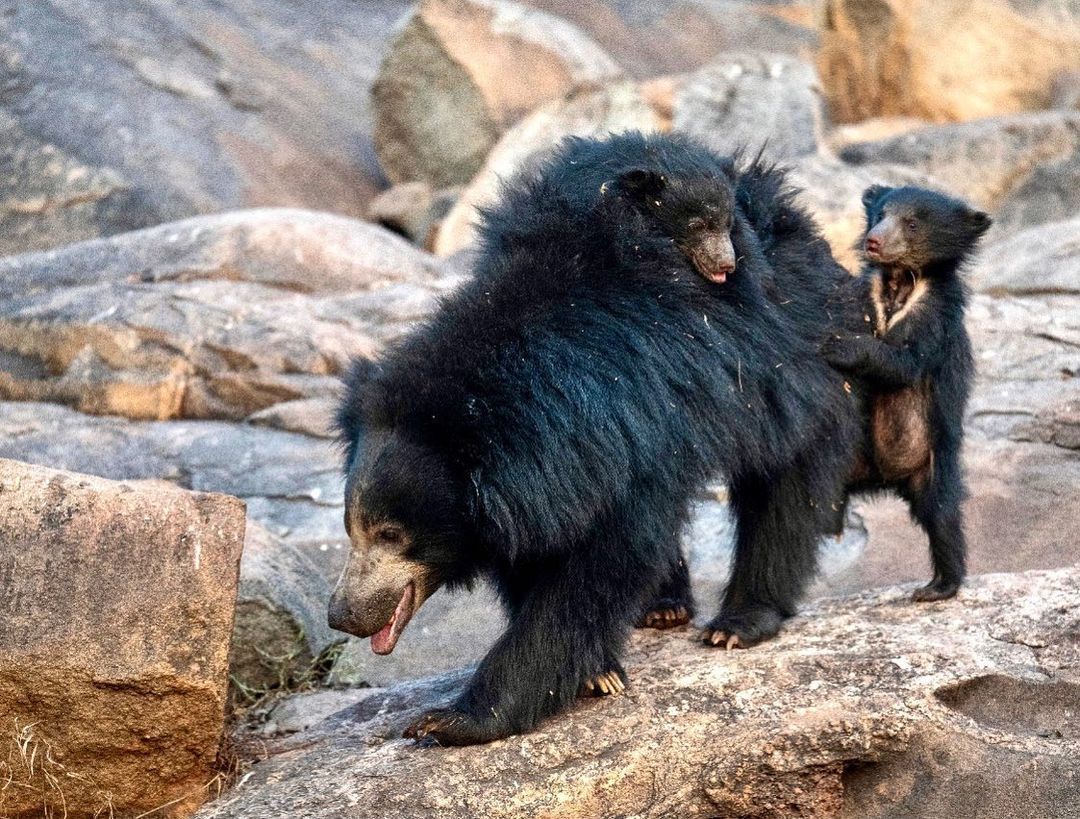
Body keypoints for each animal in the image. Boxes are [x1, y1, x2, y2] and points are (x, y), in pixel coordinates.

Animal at [328, 131, 859, 747]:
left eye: (392, 534)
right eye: (352, 529)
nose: (341, 614)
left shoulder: (635, 436)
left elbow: (599, 570)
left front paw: (455, 718)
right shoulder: (542, 485)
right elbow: (538, 557)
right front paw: (595, 672)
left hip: (792, 368)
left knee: (786, 484)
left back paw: (739, 621)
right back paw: (664, 608)